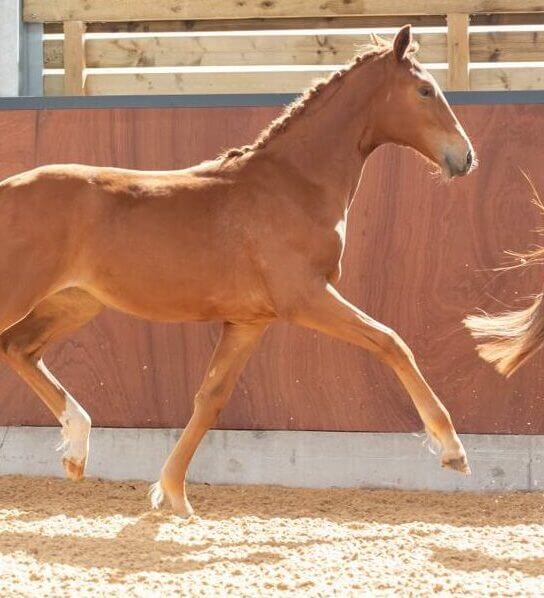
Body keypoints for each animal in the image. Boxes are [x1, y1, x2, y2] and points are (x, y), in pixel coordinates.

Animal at [0, 27, 474, 516]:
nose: (465, 157)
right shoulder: (306, 298)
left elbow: (210, 399)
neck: (293, 184)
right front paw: (453, 451)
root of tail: (6, 188)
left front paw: (174, 496)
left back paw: (76, 451)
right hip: (21, 294)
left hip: (74, 303)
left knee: (17, 348)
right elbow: (391, 342)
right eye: (425, 90)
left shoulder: (249, 322)